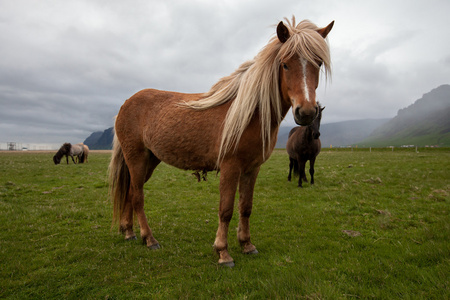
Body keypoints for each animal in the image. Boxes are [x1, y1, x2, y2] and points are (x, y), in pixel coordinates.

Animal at [109, 17, 334, 268]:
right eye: (285, 64)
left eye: (318, 64)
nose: (306, 112)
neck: (250, 113)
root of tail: (125, 105)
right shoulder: (230, 167)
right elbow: (225, 210)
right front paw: (223, 253)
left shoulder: (252, 169)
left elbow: (246, 207)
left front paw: (247, 245)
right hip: (136, 158)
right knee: (137, 196)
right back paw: (149, 239)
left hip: (149, 160)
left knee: (130, 192)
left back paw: (129, 232)